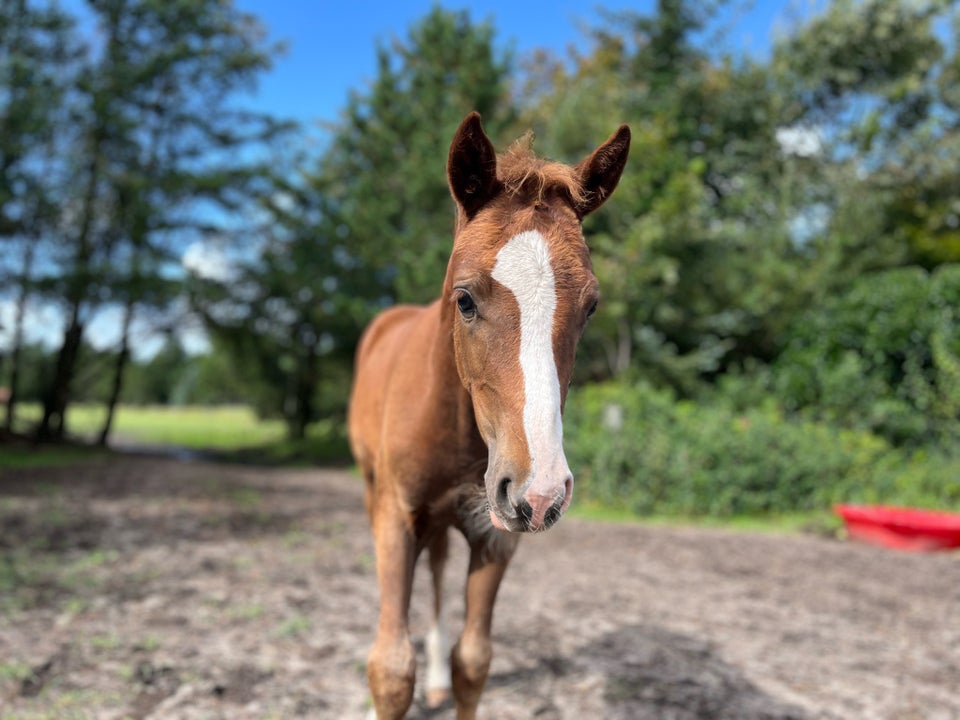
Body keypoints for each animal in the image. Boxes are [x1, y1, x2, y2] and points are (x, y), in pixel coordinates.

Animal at [346, 112, 632, 720]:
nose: (541, 491)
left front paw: (446, 674)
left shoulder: (495, 534)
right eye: (465, 299)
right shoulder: (396, 517)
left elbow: (473, 661)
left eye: (591, 307)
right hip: (376, 490)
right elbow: (390, 667)